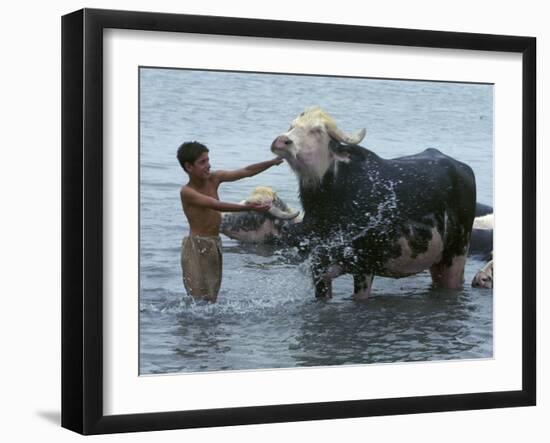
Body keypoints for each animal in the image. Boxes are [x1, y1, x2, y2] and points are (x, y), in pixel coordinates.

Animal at [272, 107, 478, 300]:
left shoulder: (364, 266)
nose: (281, 141)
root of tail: (463, 169)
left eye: (317, 130)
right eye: (292, 126)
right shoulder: (318, 268)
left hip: (457, 255)